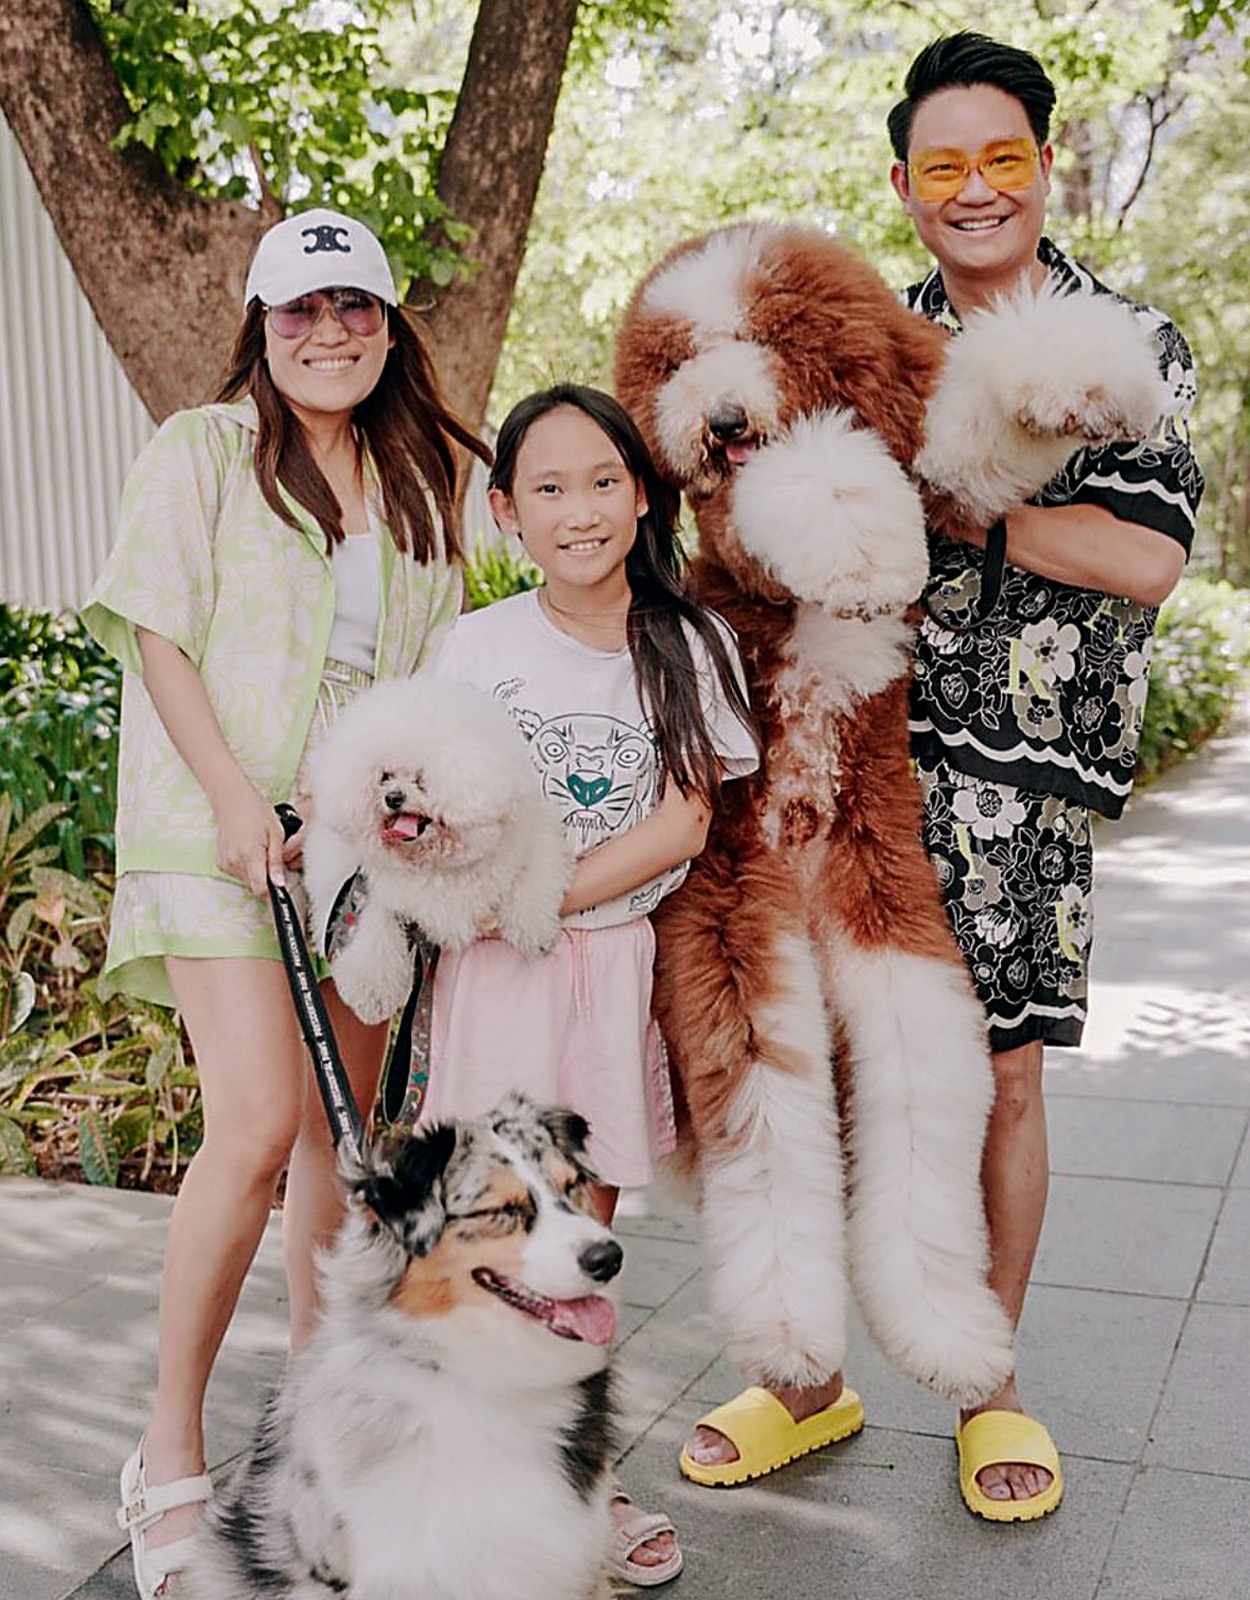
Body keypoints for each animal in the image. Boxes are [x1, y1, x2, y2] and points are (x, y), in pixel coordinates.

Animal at [302, 675, 576, 1024]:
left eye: (422, 779)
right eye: (385, 776)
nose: (393, 797)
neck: (434, 863)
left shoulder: (531, 840)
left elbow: (533, 882)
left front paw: (535, 933)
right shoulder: (374, 889)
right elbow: (374, 934)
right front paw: (371, 996)